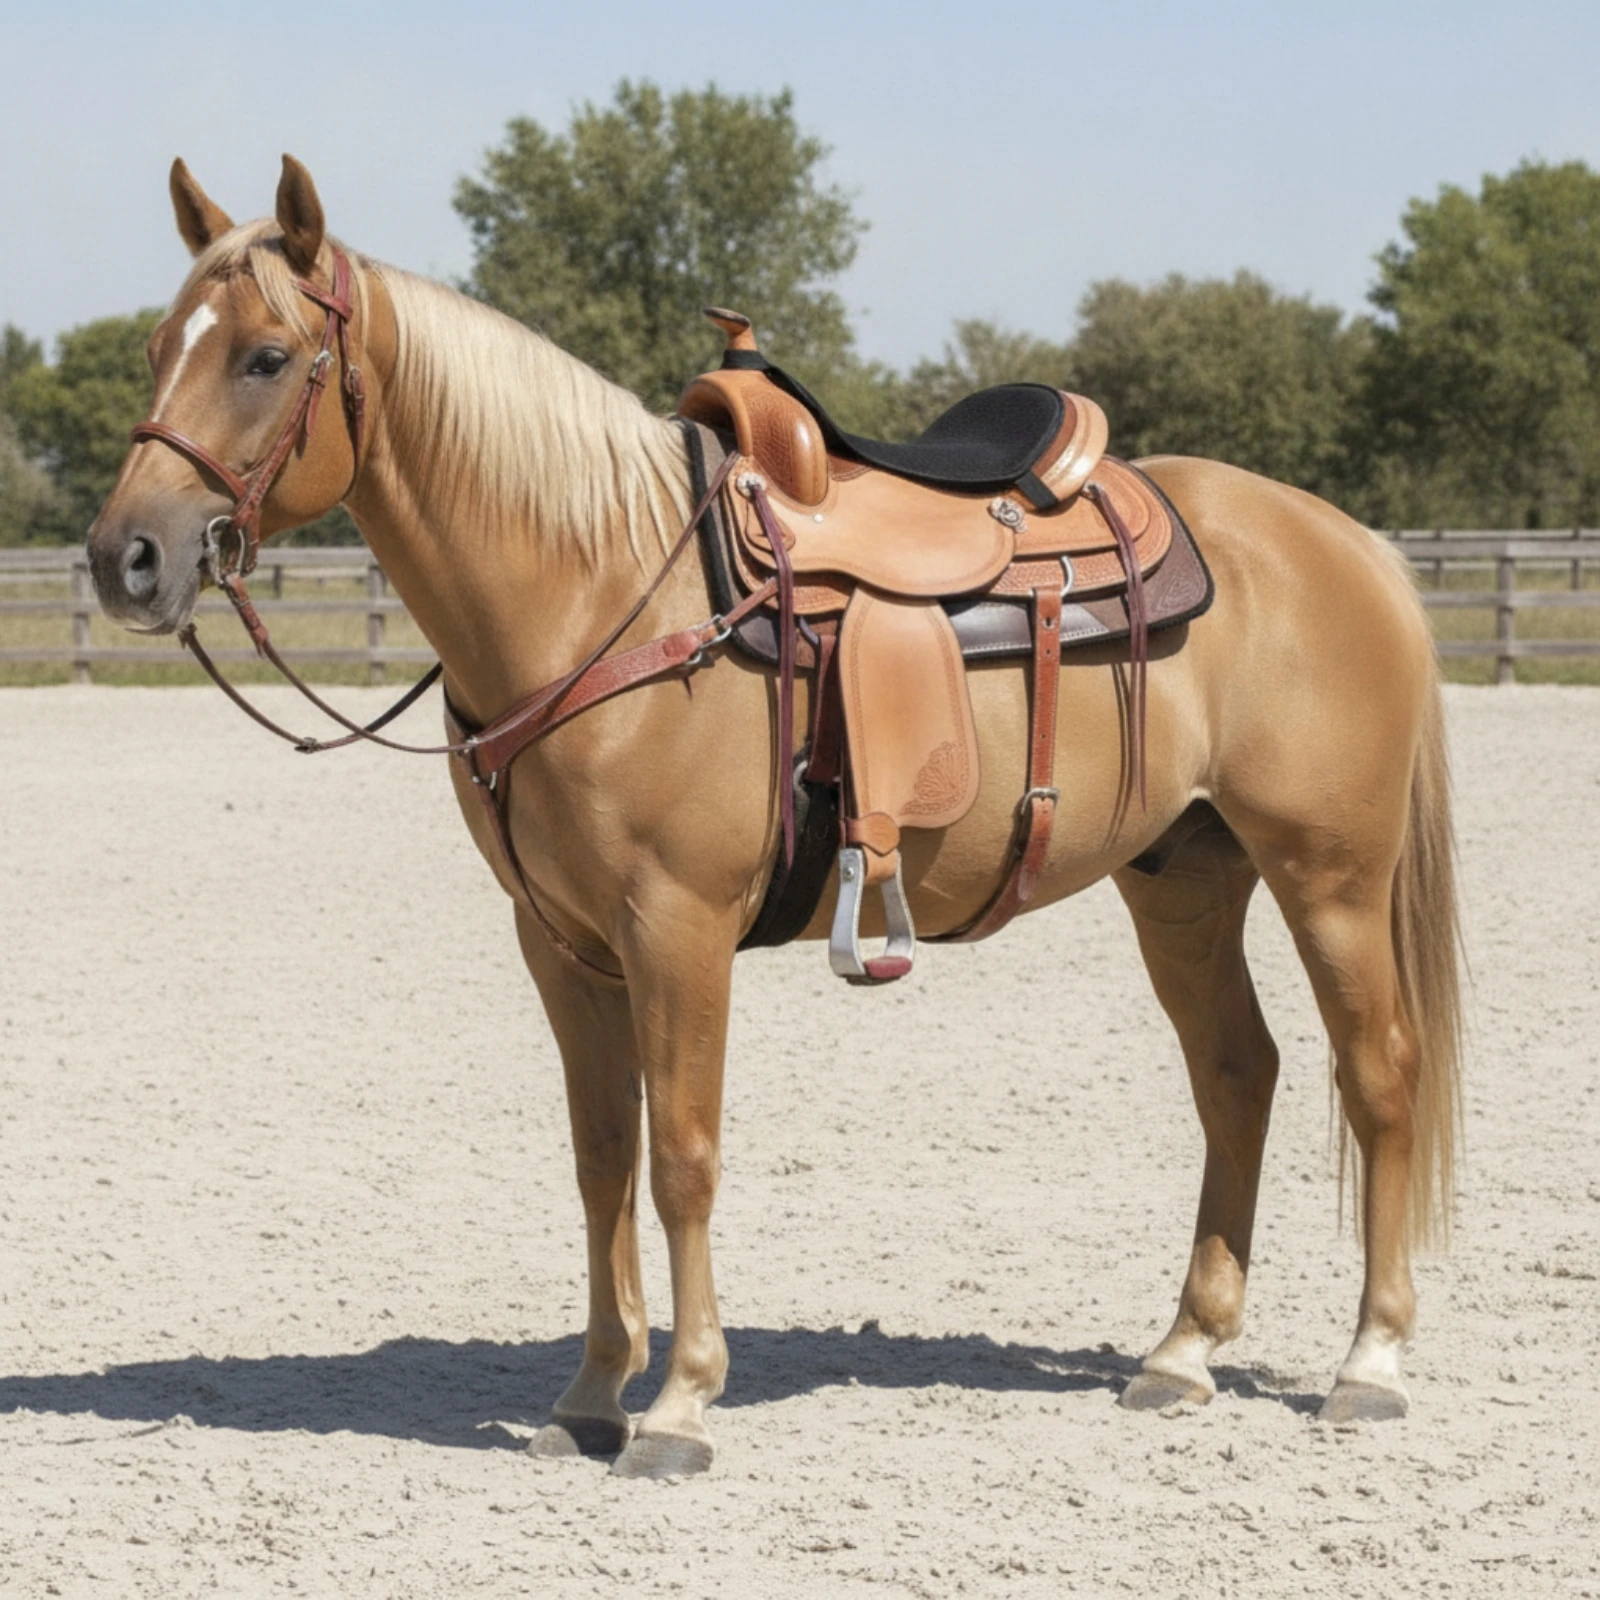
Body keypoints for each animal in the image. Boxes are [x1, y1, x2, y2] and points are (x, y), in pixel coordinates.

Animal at [87, 155, 1462, 1478]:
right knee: (1237, 1072)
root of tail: (1349, 544)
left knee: (1378, 1072)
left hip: (1327, 877)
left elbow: (683, 1157)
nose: (123, 558)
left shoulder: (678, 926)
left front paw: (682, 1405)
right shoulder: (562, 942)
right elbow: (603, 1157)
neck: (604, 591)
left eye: (266, 357)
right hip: (1183, 876)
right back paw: (1181, 1353)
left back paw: (1371, 1362)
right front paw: (591, 1394)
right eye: (157, 346)